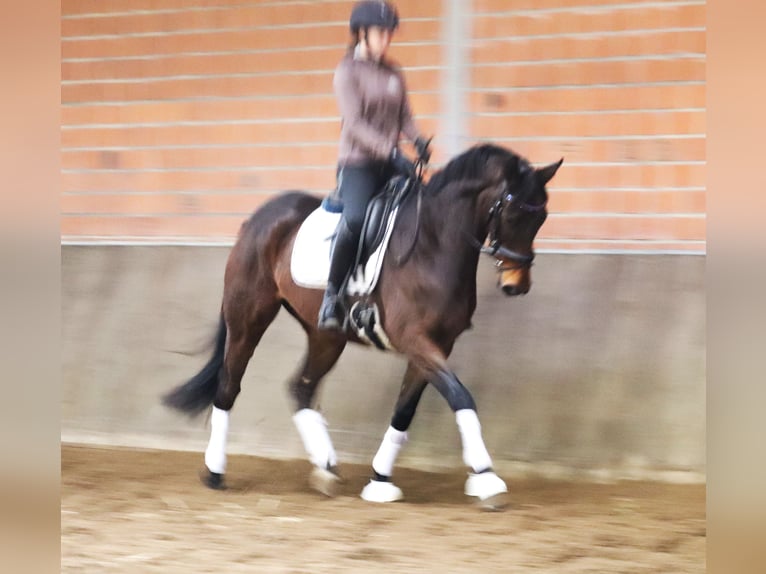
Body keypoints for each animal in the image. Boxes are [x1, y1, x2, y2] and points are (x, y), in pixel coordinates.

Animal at [162, 143, 564, 508]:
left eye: (541, 217)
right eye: (512, 213)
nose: (516, 285)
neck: (433, 244)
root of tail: (259, 217)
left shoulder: (437, 344)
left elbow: (404, 411)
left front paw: (380, 480)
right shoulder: (416, 339)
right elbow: (460, 397)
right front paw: (486, 478)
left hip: (326, 336)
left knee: (300, 387)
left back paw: (325, 468)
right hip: (248, 317)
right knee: (229, 386)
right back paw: (215, 472)